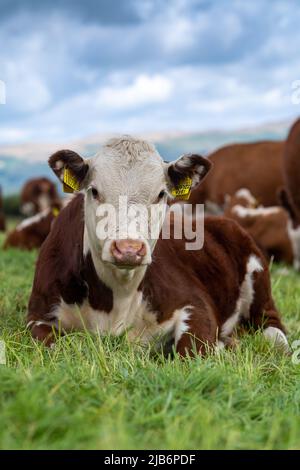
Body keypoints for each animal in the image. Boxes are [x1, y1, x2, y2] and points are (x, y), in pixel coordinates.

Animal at [27, 137, 288, 356]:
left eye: (161, 194)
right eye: (94, 191)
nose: (129, 248)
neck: (117, 296)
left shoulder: (195, 303)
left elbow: (192, 352)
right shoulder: (38, 315)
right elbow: (54, 347)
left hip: (258, 280)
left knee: (272, 326)